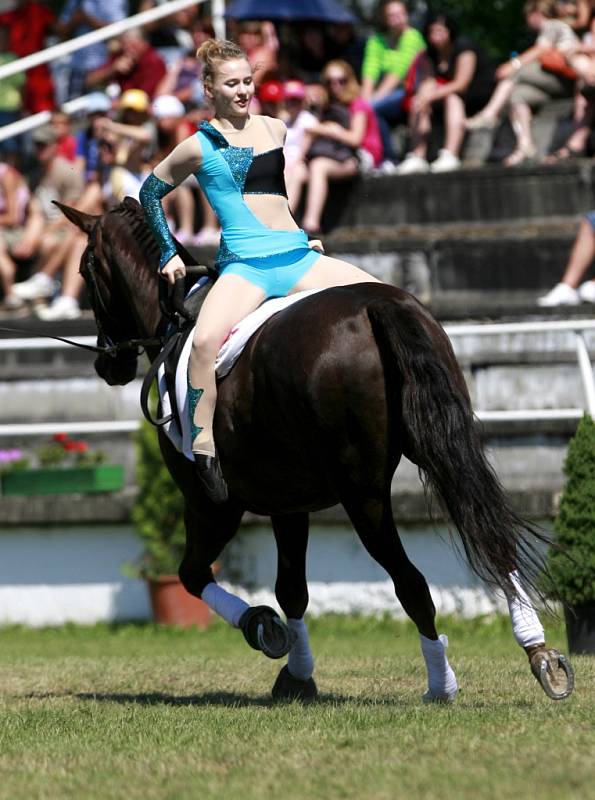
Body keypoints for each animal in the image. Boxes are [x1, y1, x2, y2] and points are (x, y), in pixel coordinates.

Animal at [57, 198, 572, 700]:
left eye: (84, 269)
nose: (107, 364)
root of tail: (378, 305)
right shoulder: (289, 502)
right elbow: (292, 590)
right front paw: (298, 673)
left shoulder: (209, 505)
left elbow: (193, 574)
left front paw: (263, 629)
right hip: (441, 449)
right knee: (488, 531)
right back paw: (538, 652)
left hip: (362, 494)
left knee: (411, 581)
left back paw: (440, 684)